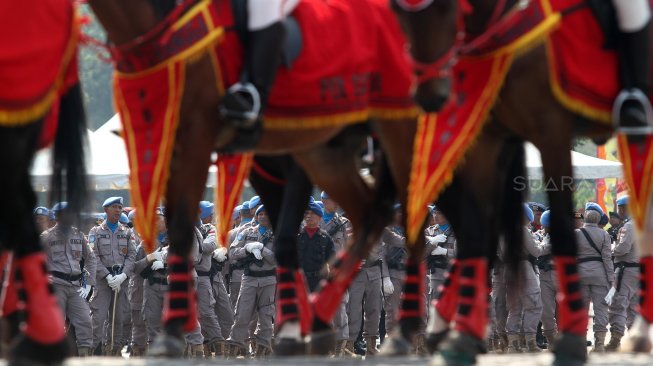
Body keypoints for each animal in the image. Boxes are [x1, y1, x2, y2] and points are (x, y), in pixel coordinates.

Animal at [388, 0, 653, 364]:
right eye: (397, 13)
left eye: (446, 9)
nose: (431, 96)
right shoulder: (488, 141)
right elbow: (478, 236)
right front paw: (456, 334)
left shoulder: (551, 132)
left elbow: (559, 231)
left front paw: (571, 340)